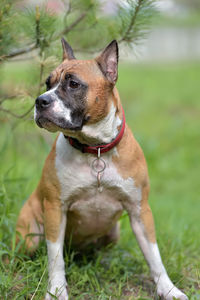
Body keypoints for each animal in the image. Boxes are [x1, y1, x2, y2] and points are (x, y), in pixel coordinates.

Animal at [16, 40, 188, 300]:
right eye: (48, 83)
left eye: (73, 84)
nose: (40, 101)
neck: (94, 149)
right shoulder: (55, 210)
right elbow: (55, 259)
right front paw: (56, 290)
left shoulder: (140, 211)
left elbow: (154, 256)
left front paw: (169, 289)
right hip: (29, 235)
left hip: (113, 233)